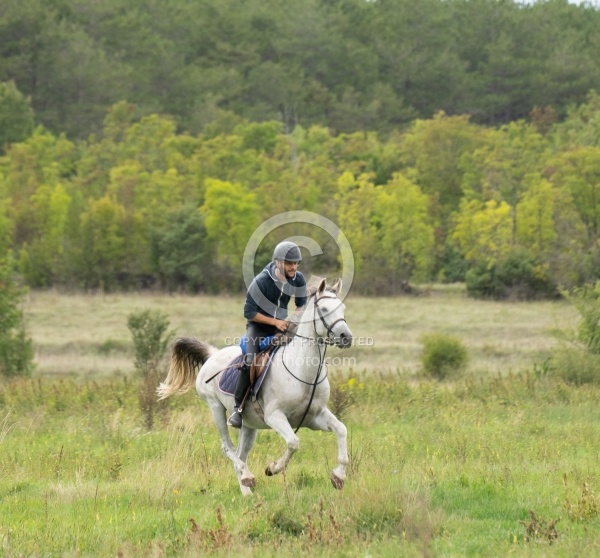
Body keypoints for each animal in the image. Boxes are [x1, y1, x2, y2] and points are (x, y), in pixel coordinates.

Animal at [156, 282, 352, 496]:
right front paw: (273, 468)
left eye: (343, 309)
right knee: (227, 448)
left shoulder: (315, 417)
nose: (346, 337)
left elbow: (341, 430)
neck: (303, 372)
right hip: (215, 407)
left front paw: (338, 477)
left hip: (249, 425)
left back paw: (247, 490)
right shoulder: (275, 417)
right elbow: (293, 442)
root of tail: (212, 354)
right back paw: (248, 477)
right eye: (324, 309)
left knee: (241, 454)